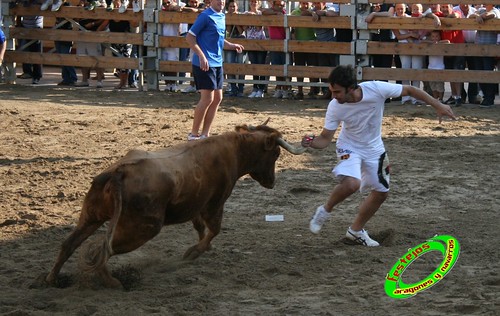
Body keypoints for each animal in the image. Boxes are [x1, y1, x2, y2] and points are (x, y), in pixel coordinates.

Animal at [46, 124, 304, 288]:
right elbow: (214, 229)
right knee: (102, 250)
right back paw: (113, 282)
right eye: (276, 153)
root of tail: (120, 172)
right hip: (143, 229)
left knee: (69, 244)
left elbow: (201, 228)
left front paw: (203, 248)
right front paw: (194, 252)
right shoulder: (215, 203)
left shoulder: (196, 207)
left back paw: (50, 280)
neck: (234, 150)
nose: (272, 182)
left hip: (91, 216)